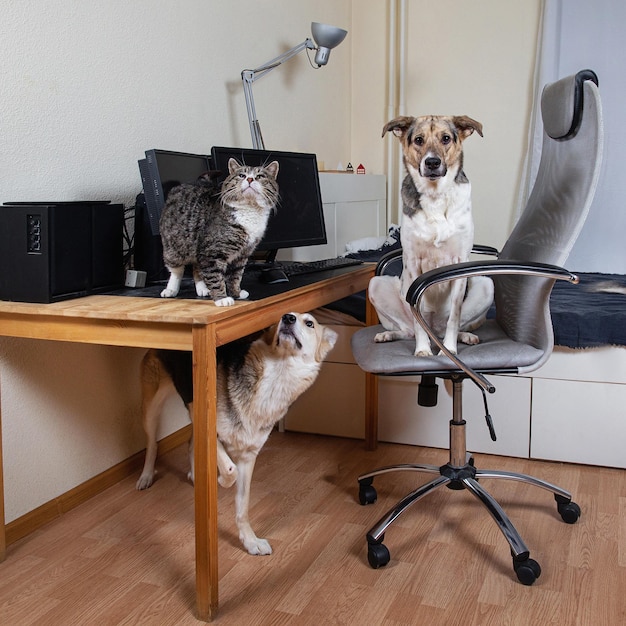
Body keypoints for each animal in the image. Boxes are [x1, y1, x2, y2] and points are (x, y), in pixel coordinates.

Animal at [136, 310, 336, 552]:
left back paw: (195, 476)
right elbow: (230, 469)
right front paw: (222, 481)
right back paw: (147, 476)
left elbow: (243, 507)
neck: (278, 375)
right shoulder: (210, 428)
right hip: (152, 408)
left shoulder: (248, 457)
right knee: (152, 444)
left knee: (191, 442)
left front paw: (250, 541)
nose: (287, 318)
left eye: (309, 323)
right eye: (283, 318)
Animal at [158, 157, 278, 306]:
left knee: (197, 268)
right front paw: (222, 298)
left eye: (260, 176)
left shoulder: (242, 255)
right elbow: (215, 277)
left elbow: (236, 276)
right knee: (176, 271)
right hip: (174, 248)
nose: (250, 179)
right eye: (242, 175)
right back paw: (171, 290)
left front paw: (236, 293)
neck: (250, 211)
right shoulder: (211, 253)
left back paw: (203, 289)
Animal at [368, 114, 494, 354]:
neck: (436, 196)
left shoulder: (459, 263)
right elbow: (418, 323)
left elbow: (455, 316)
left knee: (454, 325)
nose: (432, 162)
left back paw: (463, 337)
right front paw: (423, 350)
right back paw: (389, 335)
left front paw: (450, 350)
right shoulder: (414, 263)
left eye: (446, 138)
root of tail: (435, 329)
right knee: (407, 329)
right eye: (419, 139)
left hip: (485, 284)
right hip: (377, 284)